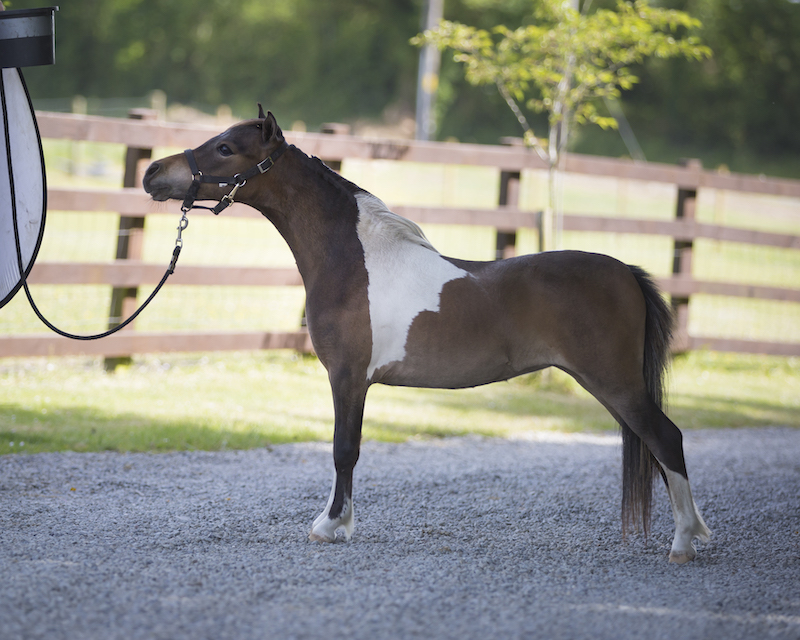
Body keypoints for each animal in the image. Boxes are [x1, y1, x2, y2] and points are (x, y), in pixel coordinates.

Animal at [143, 106, 711, 563]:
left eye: (225, 147)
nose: (152, 173)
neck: (354, 262)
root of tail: (626, 272)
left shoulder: (348, 377)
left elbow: (343, 449)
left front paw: (331, 526)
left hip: (616, 384)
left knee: (666, 439)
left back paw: (683, 544)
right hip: (613, 387)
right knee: (657, 447)